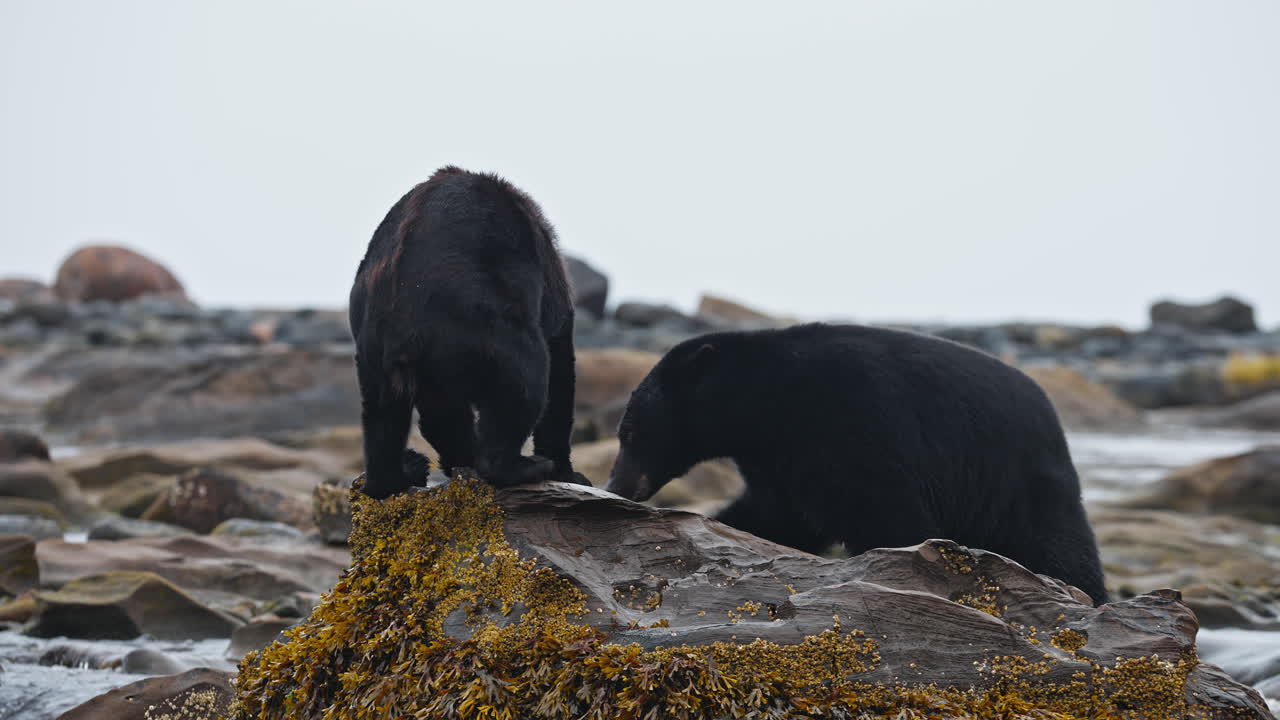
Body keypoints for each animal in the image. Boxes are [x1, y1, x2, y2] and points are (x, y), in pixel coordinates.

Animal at [349, 166, 588, 498]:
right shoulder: (550, 289)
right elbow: (560, 370)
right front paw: (569, 471)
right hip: (484, 316)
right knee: (525, 374)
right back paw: (521, 466)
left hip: (376, 347)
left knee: (385, 414)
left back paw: (403, 472)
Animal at [604, 322, 1108, 606]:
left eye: (629, 433)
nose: (616, 485)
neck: (762, 399)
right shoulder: (777, 457)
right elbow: (780, 513)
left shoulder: (850, 420)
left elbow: (881, 509)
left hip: (1018, 483)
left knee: (1060, 546)